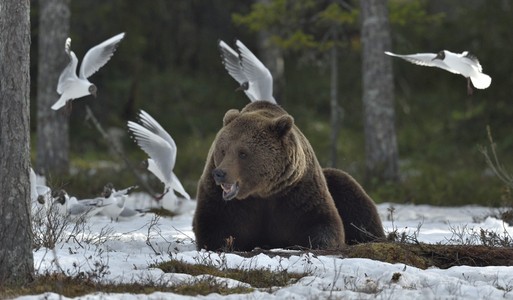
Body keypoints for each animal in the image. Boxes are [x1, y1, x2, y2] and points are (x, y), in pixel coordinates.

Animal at [194, 101, 382, 251]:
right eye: (223, 150)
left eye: (243, 153)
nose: (220, 173)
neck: (263, 191)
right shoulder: (224, 200)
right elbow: (215, 225)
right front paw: (225, 245)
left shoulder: (297, 192)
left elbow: (322, 222)